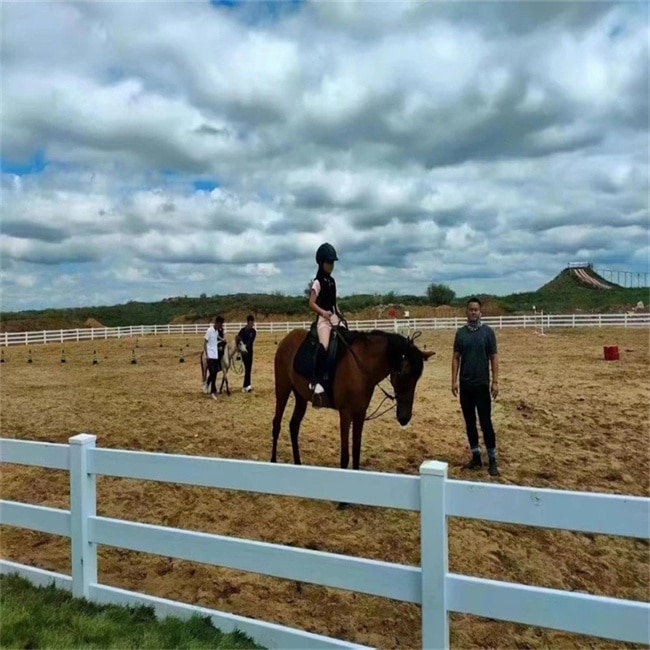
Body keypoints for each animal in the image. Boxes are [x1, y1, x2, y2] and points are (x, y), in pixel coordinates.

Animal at [270, 322, 436, 474]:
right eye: (403, 373)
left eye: (417, 377)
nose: (404, 418)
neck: (359, 367)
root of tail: (287, 338)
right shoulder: (345, 414)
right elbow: (345, 456)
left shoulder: (360, 413)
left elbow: (356, 450)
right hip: (282, 389)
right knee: (276, 424)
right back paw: (273, 461)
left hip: (300, 397)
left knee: (294, 426)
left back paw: (297, 464)